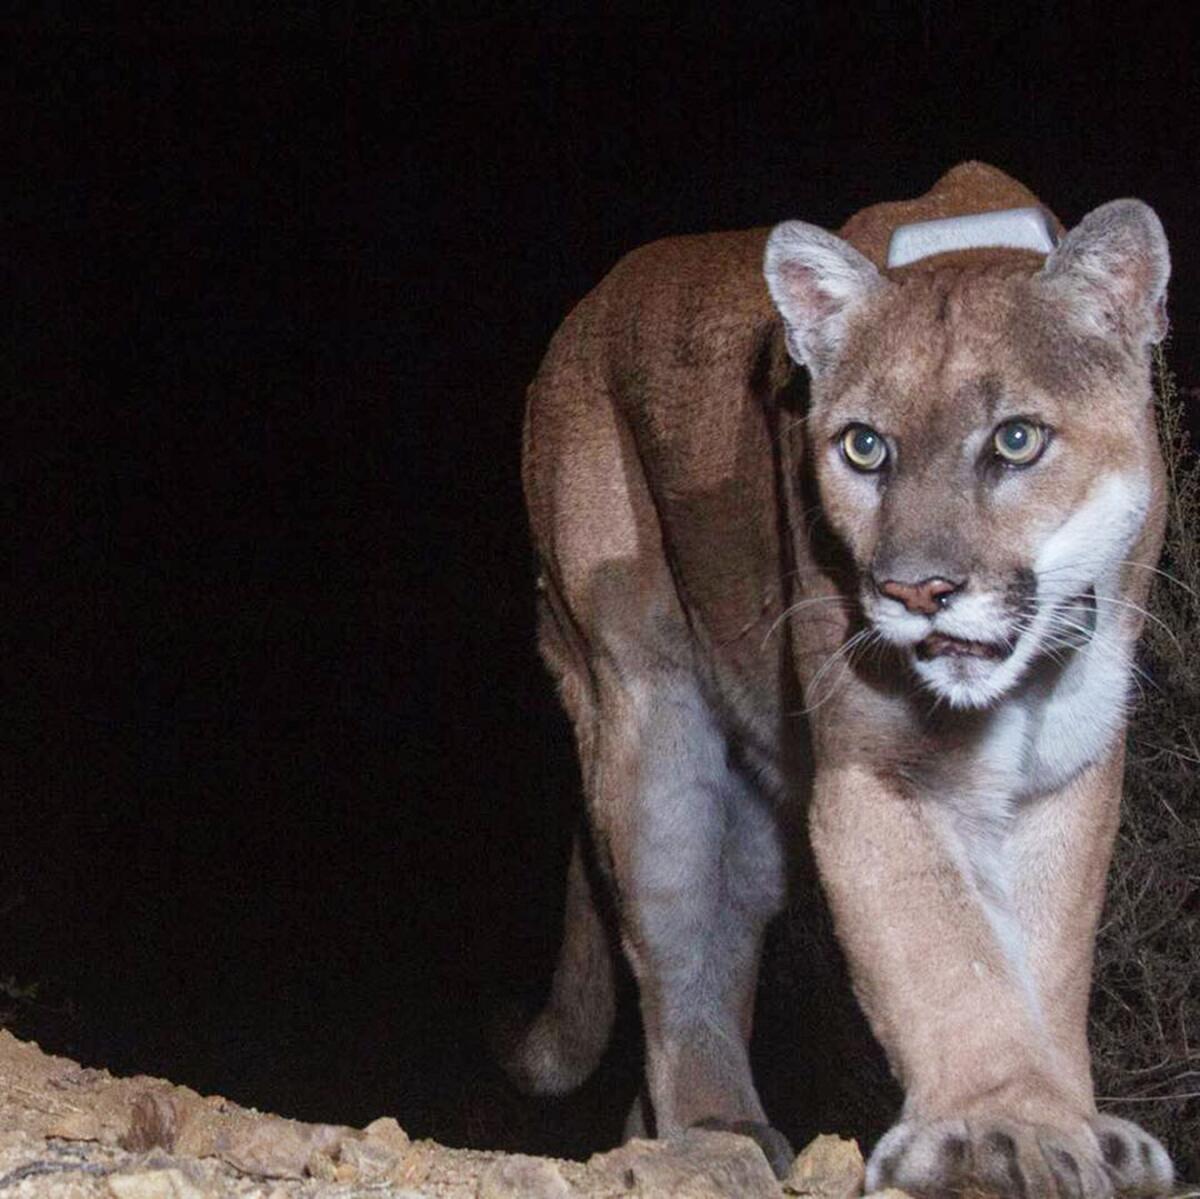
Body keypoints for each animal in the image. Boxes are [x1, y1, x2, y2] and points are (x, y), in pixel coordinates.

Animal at [511, 162, 1176, 1199]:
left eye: (1016, 439)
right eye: (864, 446)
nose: (917, 589)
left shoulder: (1066, 770)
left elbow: (1045, 953)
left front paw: (1073, 1123)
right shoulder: (876, 766)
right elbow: (947, 947)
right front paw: (1002, 1127)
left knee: (730, 918)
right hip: (645, 721)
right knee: (673, 939)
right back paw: (712, 1130)